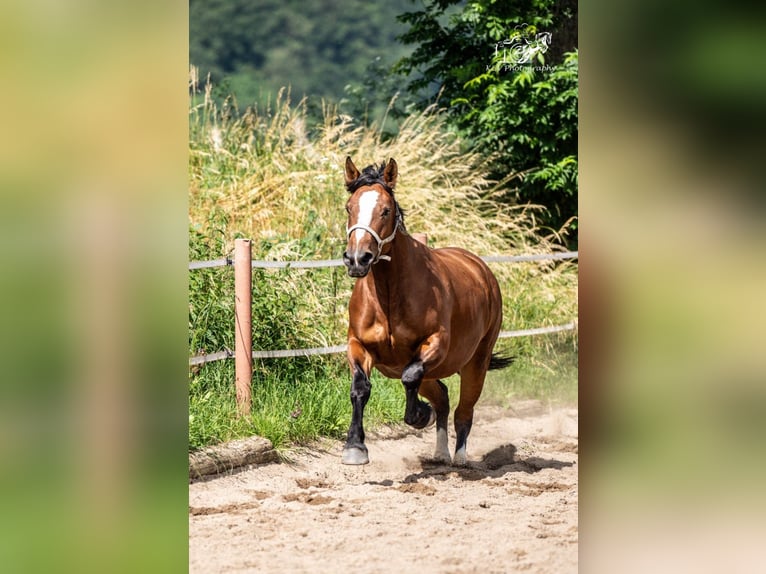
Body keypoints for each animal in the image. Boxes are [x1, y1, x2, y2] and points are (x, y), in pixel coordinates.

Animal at [340, 158, 510, 468]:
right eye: (349, 207)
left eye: (385, 210)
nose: (357, 259)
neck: (389, 294)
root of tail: (481, 269)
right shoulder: (358, 345)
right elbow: (360, 387)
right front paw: (355, 447)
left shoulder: (435, 344)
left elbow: (410, 378)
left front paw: (419, 415)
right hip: (434, 372)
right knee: (441, 397)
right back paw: (440, 453)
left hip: (476, 363)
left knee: (463, 410)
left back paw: (460, 457)